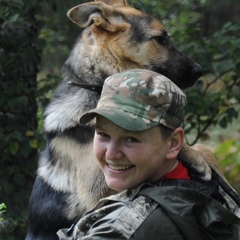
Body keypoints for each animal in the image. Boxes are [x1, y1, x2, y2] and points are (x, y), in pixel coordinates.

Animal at [26, 0, 210, 239]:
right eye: (161, 39)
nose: (200, 70)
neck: (99, 86)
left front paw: (197, 155)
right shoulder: (101, 187)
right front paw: (197, 158)